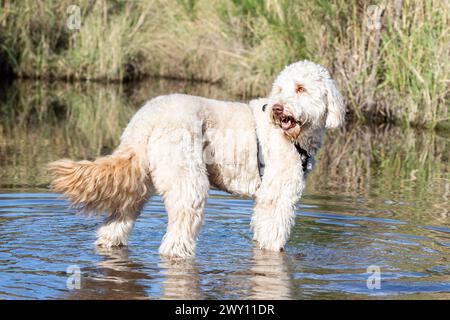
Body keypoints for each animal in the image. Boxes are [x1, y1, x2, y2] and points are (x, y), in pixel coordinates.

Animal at [49, 60, 344, 258]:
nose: (277, 108)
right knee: (176, 235)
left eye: (301, 88)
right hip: (188, 181)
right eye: (281, 89)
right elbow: (273, 236)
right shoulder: (278, 196)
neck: (295, 137)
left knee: (117, 220)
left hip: (141, 183)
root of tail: (145, 119)